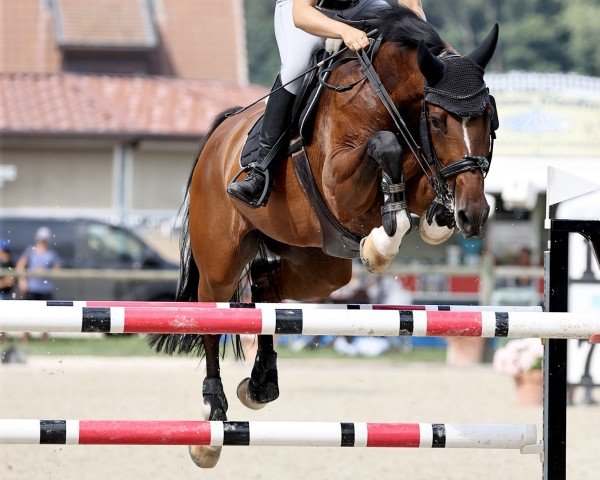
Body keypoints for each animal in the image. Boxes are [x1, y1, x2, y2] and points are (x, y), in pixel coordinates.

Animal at [149, 4, 496, 468]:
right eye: (439, 121)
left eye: (489, 117)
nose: (474, 215)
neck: (384, 97)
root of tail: (219, 137)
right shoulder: (339, 182)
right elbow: (385, 147)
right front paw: (381, 244)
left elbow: (418, 181)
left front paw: (433, 219)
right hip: (221, 260)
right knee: (212, 314)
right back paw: (213, 418)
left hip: (318, 264)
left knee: (266, 286)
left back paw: (260, 384)